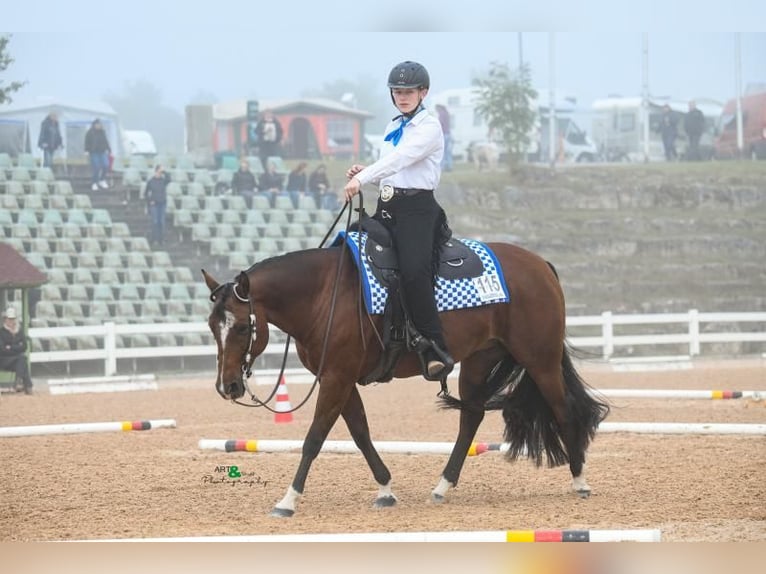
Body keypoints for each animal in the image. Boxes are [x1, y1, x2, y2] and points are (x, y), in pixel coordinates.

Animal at [204, 238, 612, 516]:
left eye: (241, 327)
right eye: (211, 326)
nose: (227, 387)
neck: (324, 293)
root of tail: (540, 264)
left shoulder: (336, 377)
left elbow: (315, 438)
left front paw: (288, 500)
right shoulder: (341, 378)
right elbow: (360, 433)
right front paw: (385, 489)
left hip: (540, 360)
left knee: (563, 410)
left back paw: (580, 480)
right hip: (479, 361)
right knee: (472, 417)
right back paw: (443, 486)